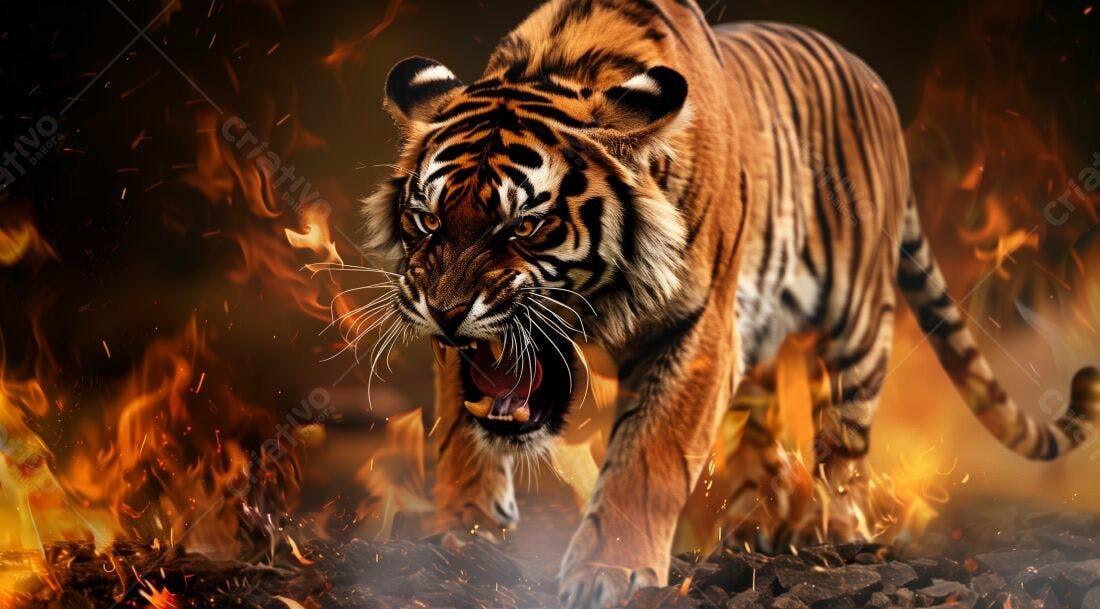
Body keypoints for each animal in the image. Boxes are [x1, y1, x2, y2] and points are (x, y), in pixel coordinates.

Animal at [361, 0, 1100, 607]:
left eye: (524, 227)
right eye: (427, 219)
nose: (447, 310)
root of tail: (870, 77)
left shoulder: (696, 330)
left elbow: (648, 457)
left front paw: (608, 571)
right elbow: (461, 425)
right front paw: (465, 529)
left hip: (857, 325)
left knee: (844, 444)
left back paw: (836, 534)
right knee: (762, 429)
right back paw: (751, 527)